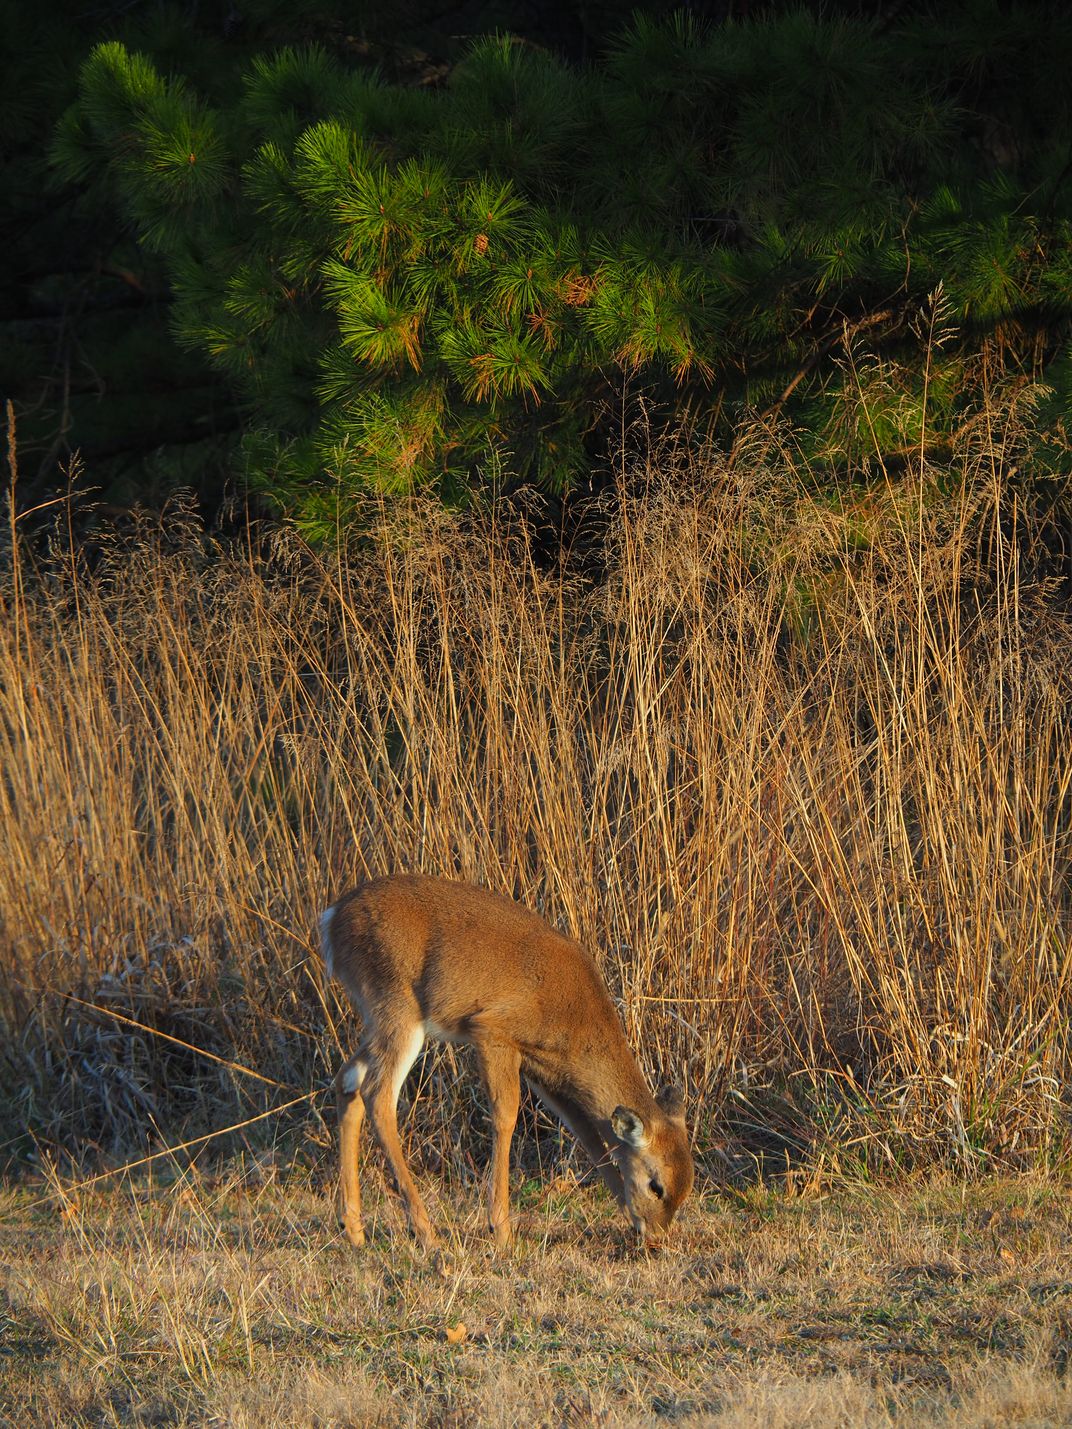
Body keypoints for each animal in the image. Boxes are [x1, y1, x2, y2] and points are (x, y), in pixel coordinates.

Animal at [318, 868, 697, 1251]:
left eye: (687, 1188)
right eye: (656, 1186)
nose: (656, 1237)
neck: (577, 1017)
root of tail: (332, 919)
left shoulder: (546, 1071)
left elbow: (587, 1133)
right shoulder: (493, 1033)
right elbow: (505, 1116)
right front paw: (500, 1229)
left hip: (377, 1019)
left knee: (348, 1080)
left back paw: (353, 1228)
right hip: (397, 1006)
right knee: (378, 1096)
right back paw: (425, 1231)